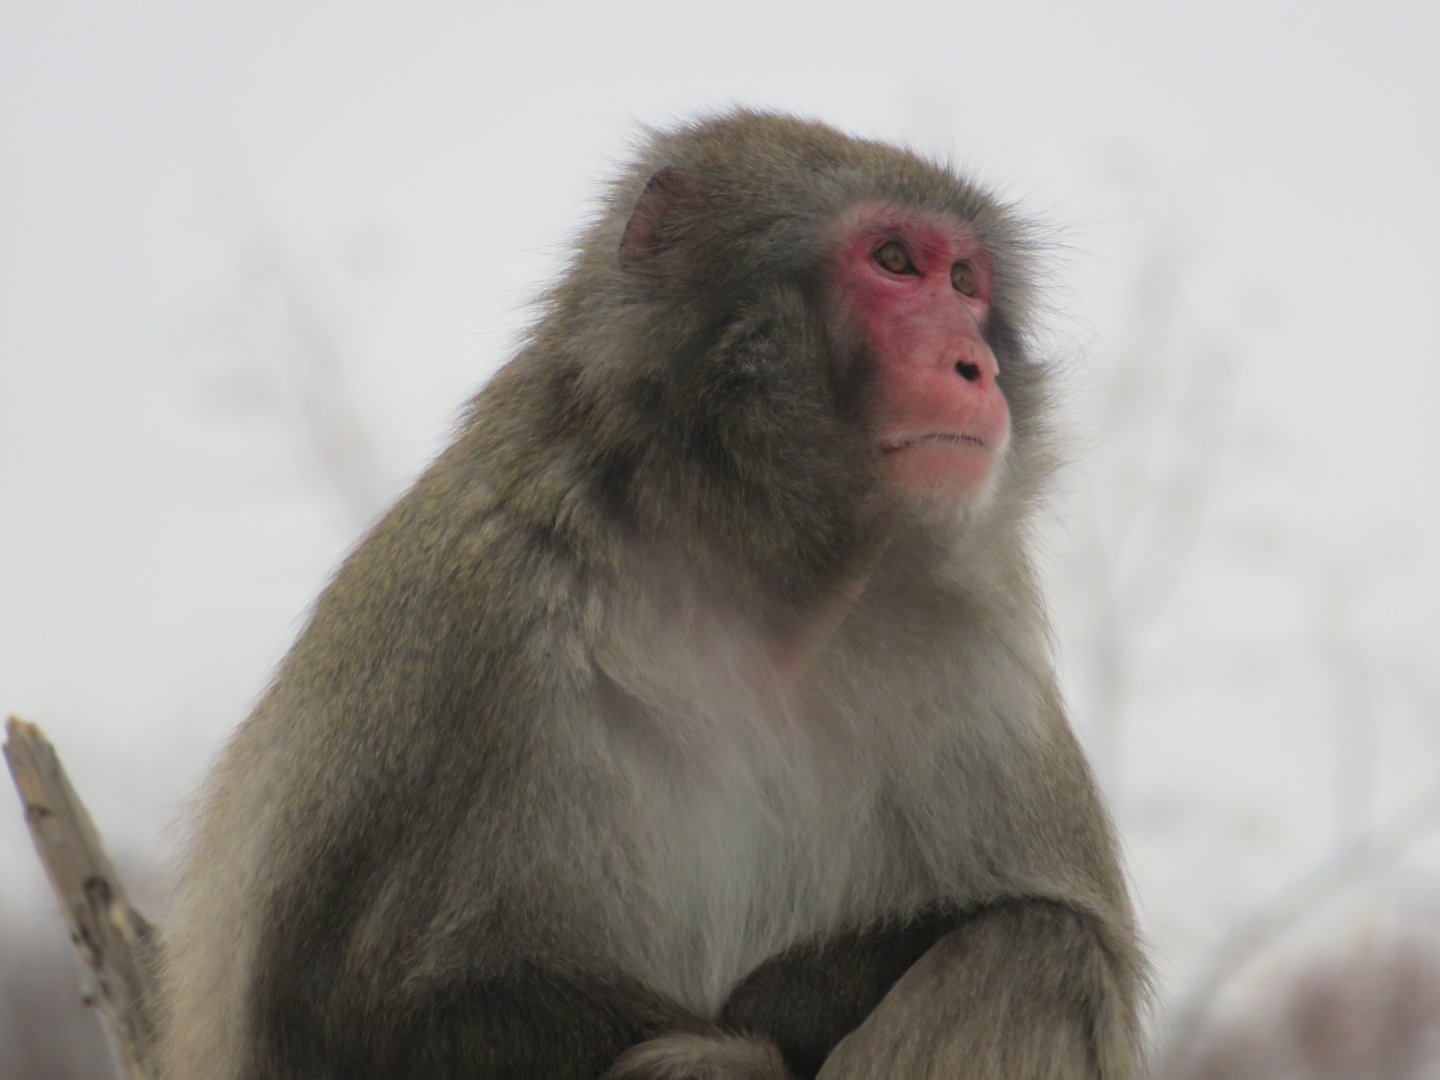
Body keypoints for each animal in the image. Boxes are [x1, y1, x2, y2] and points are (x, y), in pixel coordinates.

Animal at [158, 111, 1145, 1080]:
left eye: (967, 281)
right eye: (896, 261)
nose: (975, 365)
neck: (761, 580)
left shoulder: (984, 664)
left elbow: (1067, 925)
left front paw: (794, 995)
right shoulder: (472, 615)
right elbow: (357, 1019)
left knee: (1038, 947)